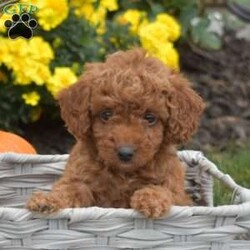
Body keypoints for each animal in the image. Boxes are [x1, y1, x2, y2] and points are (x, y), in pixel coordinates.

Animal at [26, 47, 204, 218]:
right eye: (106, 114)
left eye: (150, 118)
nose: (125, 153)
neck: (123, 174)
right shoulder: (79, 179)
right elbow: (68, 189)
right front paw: (47, 199)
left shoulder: (178, 194)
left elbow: (165, 190)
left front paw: (150, 200)